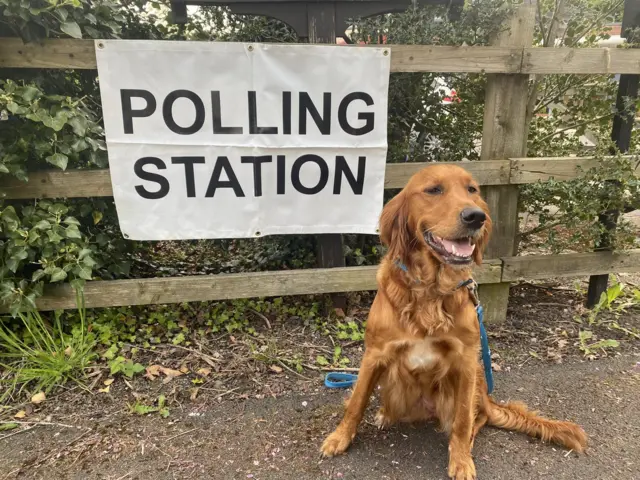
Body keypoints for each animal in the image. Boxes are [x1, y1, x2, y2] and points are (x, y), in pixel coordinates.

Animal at [320, 164, 584, 480]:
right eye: (434, 189)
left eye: (472, 189)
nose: (476, 216)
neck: (430, 290)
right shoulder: (375, 354)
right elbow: (356, 402)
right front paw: (339, 438)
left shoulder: (466, 361)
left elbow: (462, 420)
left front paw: (460, 460)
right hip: (394, 380)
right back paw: (385, 414)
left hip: (468, 386)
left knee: (477, 417)